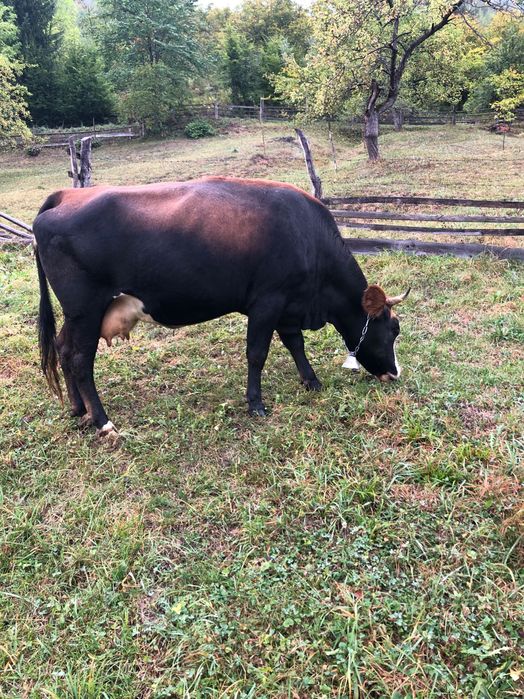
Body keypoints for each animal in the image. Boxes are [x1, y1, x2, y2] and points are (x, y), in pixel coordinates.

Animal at [33, 176, 410, 438]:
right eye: (392, 329)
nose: (394, 373)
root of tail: (65, 196)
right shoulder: (267, 301)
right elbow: (257, 353)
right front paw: (256, 403)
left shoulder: (289, 304)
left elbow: (295, 344)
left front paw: (311, 381)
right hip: (86, 309)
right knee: (80, 359)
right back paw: (102, 421)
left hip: (76, 315)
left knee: (63, 348)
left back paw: (77, 409)